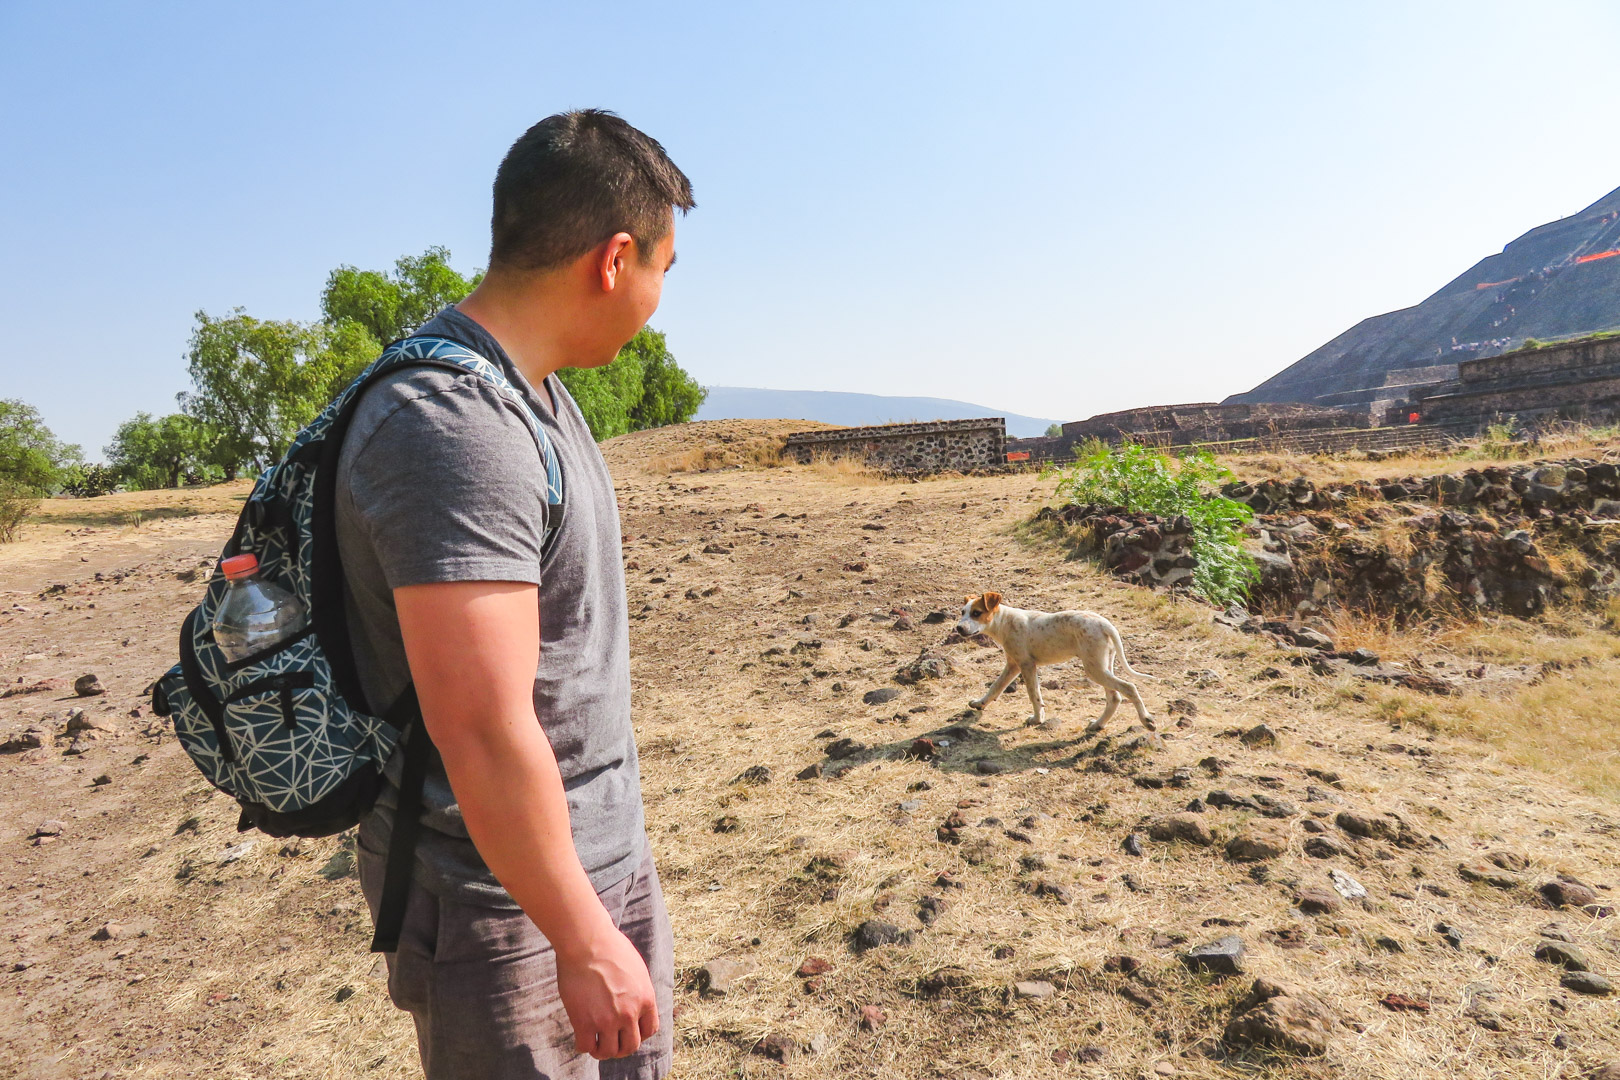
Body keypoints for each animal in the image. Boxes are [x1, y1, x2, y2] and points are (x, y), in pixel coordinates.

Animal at [959, 592, 1153, 735]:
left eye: (976, 613)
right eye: (962, 612)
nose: (958, 628)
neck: (1004, 622)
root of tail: (1105, 623)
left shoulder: (1026, 665)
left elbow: (1034, 695)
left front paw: (1037, 719)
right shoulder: (1013, 665)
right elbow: (995, 687)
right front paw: (980, 703)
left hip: (1094, 669)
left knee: (1129, 687)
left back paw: (1147, 720)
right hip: (1103, 666)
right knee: (1115, 697)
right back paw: (1098, 724)